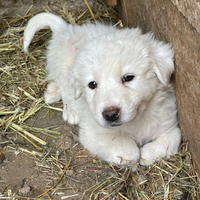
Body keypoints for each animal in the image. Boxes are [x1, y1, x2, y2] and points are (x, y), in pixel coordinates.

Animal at [23, 12, 181, 169]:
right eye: (92, 84)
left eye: (128, 77)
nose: (110, 115)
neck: (137, 120)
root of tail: (66, 29)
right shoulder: (93, 133)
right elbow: (129, 150)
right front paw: (134, 157)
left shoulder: (170, 125)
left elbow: (172, 139)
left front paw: (147, 154)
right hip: (62, 68)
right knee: (65, 89)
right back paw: (68, 109)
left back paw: (51, 93)